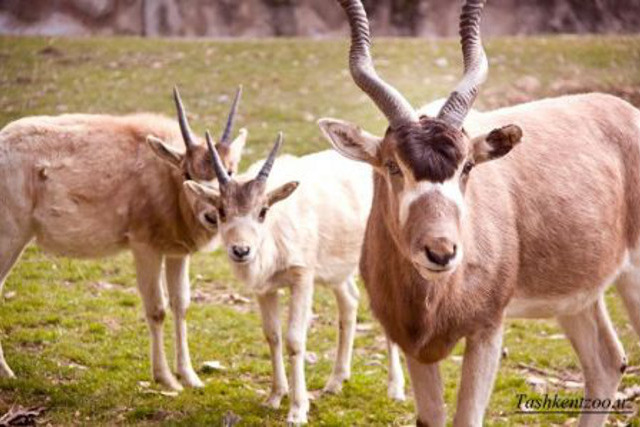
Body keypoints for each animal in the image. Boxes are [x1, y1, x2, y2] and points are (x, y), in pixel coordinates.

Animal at [0, 86, 245, 392]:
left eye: (230, 171)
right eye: (187, 173)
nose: (212, 215)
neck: (164, 175)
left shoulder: (176, 252)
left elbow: (181, 305)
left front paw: (190, 378)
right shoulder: (144, 248)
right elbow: (157, 309)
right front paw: (166, 379)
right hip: (10, 234)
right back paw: (6, 372)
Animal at [184, 134, 404, 424]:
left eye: (263, 211)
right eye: (221, 210)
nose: (241, 250)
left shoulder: (302, 277)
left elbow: (294, 340)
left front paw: (298, 409)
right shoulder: (264, 289)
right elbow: (273, 336)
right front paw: (274, 397)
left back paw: (396, 389)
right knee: (349, 301)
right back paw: (335, 382)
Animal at [318, 0, 640, 427]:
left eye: (467, 166)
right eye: (392, 166)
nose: (440, 252)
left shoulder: (488, 329)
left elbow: (467, 417)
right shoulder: (413, 343)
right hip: (576, 296)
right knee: (605, 363)